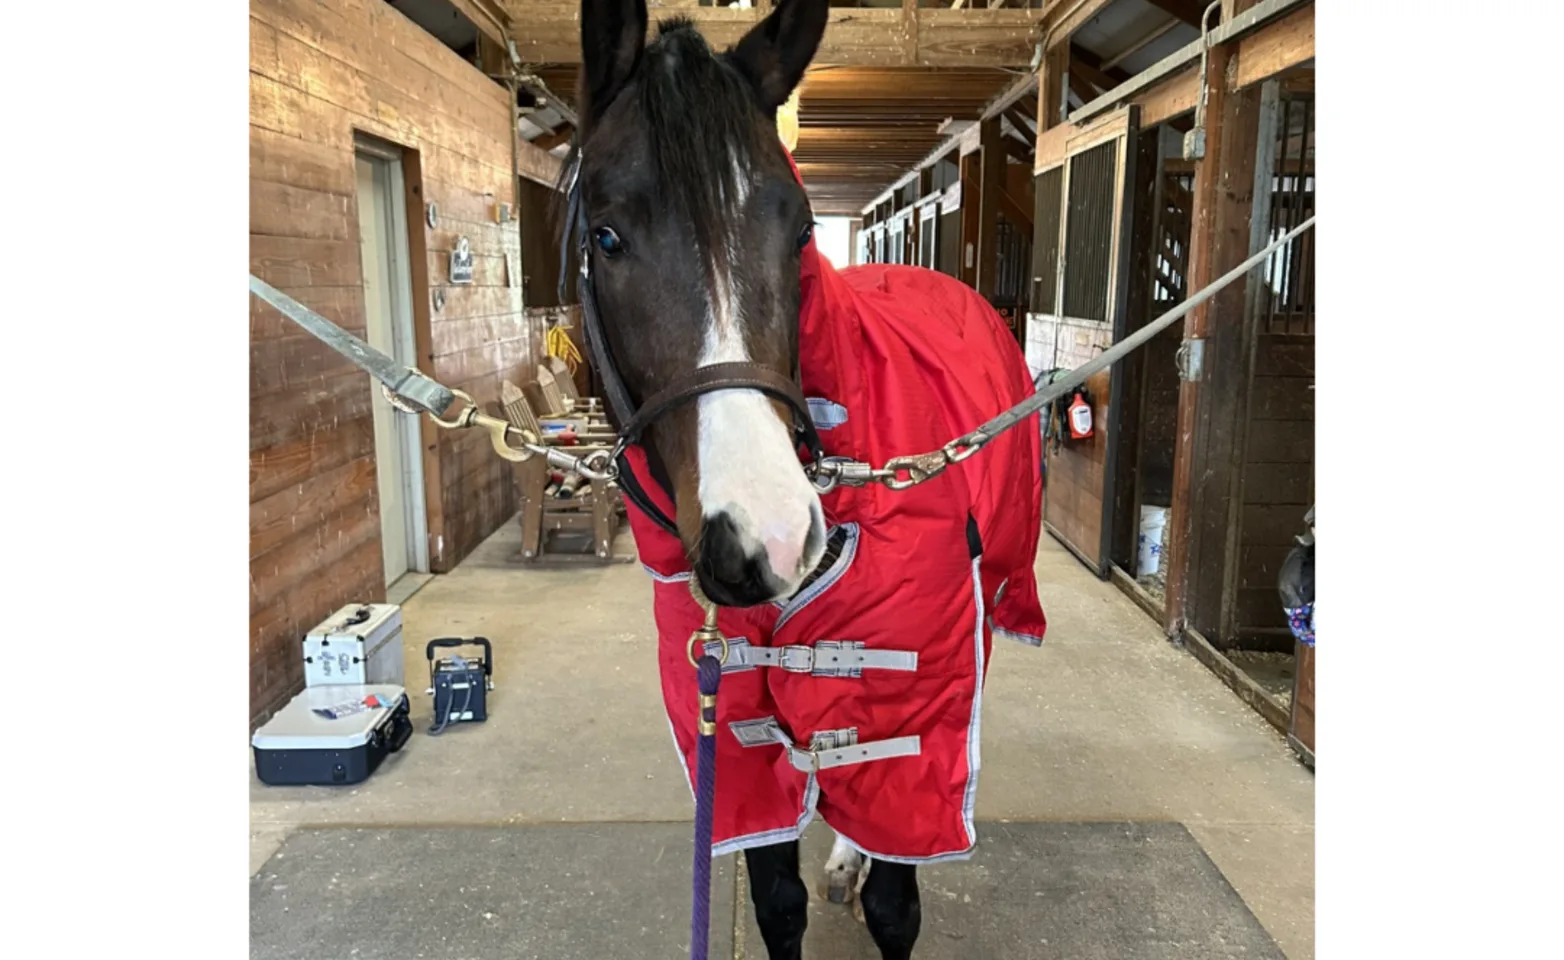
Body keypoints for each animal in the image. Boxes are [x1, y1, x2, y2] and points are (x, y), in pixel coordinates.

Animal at [562, 2, 1047, 956]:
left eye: (798, 233)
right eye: (606, 235)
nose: (765, 538)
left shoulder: (917, 710)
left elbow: (899, 899)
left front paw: (869, 879)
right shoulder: (733, 728)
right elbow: (775, 896)